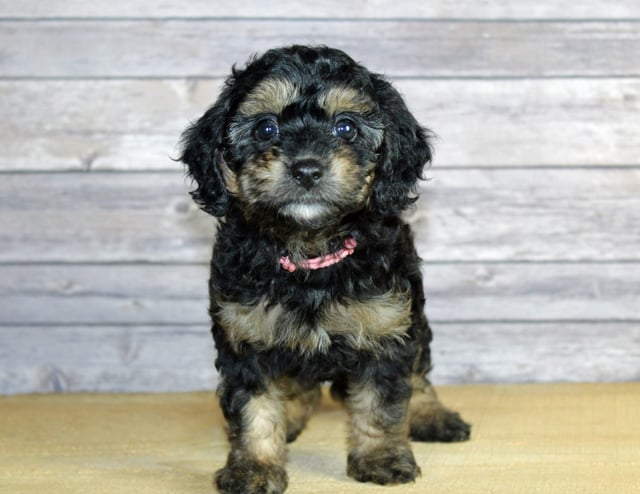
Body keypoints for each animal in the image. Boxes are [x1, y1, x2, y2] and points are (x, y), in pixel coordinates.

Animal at [180, 44, 470, 492]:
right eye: (265, 129)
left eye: (345, 127)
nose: (306, 169)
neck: (309, 254)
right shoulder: (244, 337)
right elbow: (253, 407)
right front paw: (254, 468)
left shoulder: (387, 328)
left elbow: (382, 401)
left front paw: (382, 457)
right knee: (300, 386)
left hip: (415, 316)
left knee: (420, 371)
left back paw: (431, 415)